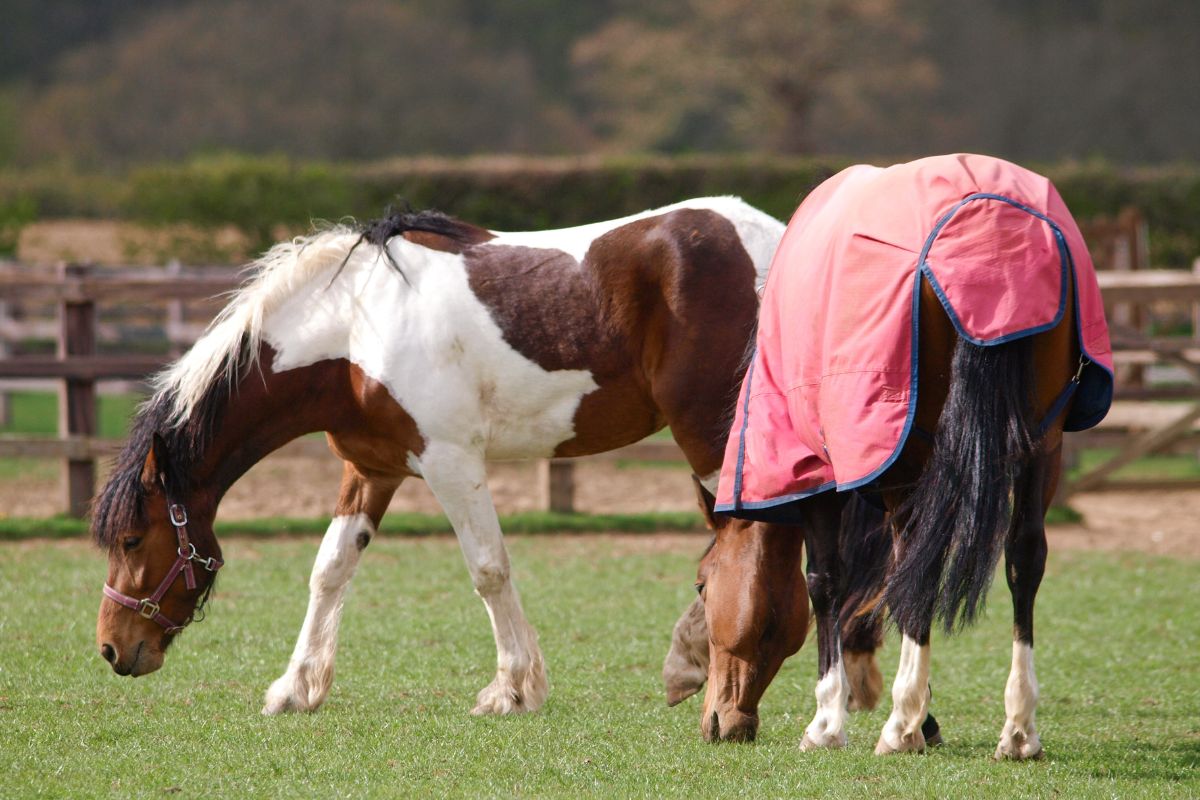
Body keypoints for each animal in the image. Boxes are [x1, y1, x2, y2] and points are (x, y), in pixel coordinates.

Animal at [93, 196, 787, 714]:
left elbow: (488, 569)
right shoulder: (372, 468)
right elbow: (330, 568)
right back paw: (695, 661)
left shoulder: (451, 463)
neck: (354, 328)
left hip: (712, 436)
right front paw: (296, 688)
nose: (110, 649)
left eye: (132, 539)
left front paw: (512, 689)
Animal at [700, 154, 1108, 758]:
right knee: (1023, 557)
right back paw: (1017, 729)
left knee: (922, 564)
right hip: (1044, 443)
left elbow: (826, 580)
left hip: (915, 454)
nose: (715, 721)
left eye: (701, 586)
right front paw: (923, 715)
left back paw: (900, 724)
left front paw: (829, 720)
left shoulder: (817, 471)